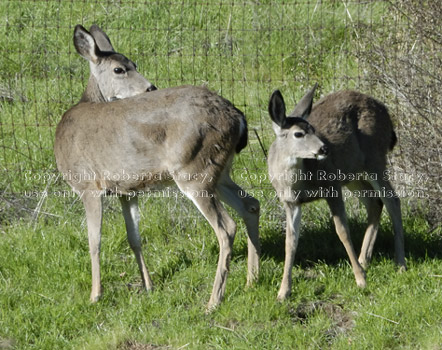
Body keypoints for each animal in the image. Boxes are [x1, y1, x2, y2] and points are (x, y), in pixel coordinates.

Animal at [55, 24, 262, 310]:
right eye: (119, 69)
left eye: (134, 63)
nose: (150, 87)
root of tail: (237, 116)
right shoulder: (126, 190)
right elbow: (134, 238)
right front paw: (148, 286)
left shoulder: (88, 185)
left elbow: (94, 241)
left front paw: (95, 295)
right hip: (219, 171)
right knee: (251, 204)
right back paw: (252, 280)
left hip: (194, 169)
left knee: (226, 227)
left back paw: (213, 301)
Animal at [268, 85, 406, 300]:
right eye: (298, 134)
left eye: (313, 129)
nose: (324, 148)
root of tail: (384, 109)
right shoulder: (290, 202)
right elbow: (290, 242)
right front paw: (283, 291)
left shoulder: (331, 186)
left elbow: (342, 231)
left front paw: (360, 280)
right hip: (352, 173)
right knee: (374, 202)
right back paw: (364, 259)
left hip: (375, 158)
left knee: (392, 200)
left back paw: (399, 264)